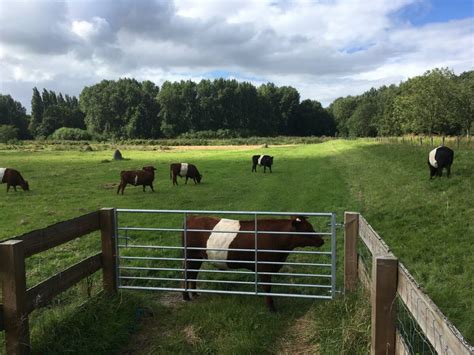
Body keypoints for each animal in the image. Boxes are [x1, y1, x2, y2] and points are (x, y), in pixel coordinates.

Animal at [180, 214, 324, 312]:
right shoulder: (264, 268)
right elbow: (267, 288)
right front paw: (271, 309)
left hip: (198, 258)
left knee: (193, 274)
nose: (321, 240)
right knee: (185, 275)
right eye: (307, 229)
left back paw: (195, 294)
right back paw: (186, 297)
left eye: (311, 227)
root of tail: (193, 218)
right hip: (190, 256)